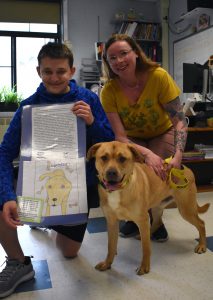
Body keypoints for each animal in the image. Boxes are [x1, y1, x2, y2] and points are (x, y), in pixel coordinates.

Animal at [88, 142, 210, 276]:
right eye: (104, 157)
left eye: (122, 158)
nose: (111, 173)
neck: (120, 190)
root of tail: (184, 167)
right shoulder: (111, 222)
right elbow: (111, 246)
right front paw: (107, 264)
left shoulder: (142, 219)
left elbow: (146, 248)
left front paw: (144, 267)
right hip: (158, 207)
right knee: (156, 222)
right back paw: (142, 235)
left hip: (186, 209)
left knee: (201, 223)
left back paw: (202, 246)